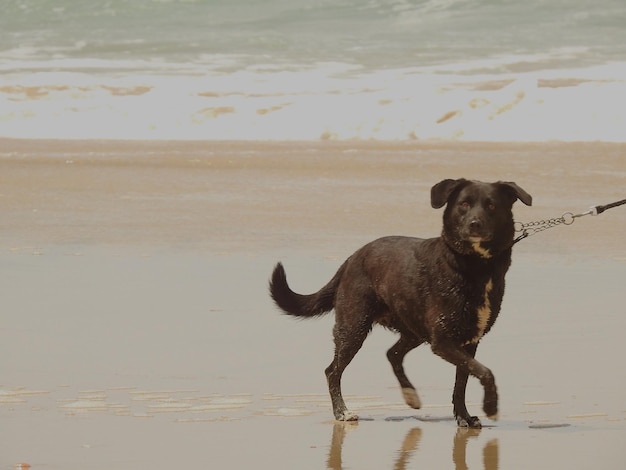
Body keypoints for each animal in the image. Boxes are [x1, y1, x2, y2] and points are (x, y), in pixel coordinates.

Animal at [270, 178, 532, 428]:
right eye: (464, 204)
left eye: (491, 205)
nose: (475, 224)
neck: (475, 265)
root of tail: (352, 257)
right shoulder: (443, 341)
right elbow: (484, 371)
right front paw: (490, 406)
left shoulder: (468, 342)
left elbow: (463, 382)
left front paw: (464, 417)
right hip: (354, 327)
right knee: (333, 370)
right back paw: (342, 412)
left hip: (413, 327)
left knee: (392, 354)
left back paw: (410, 395)